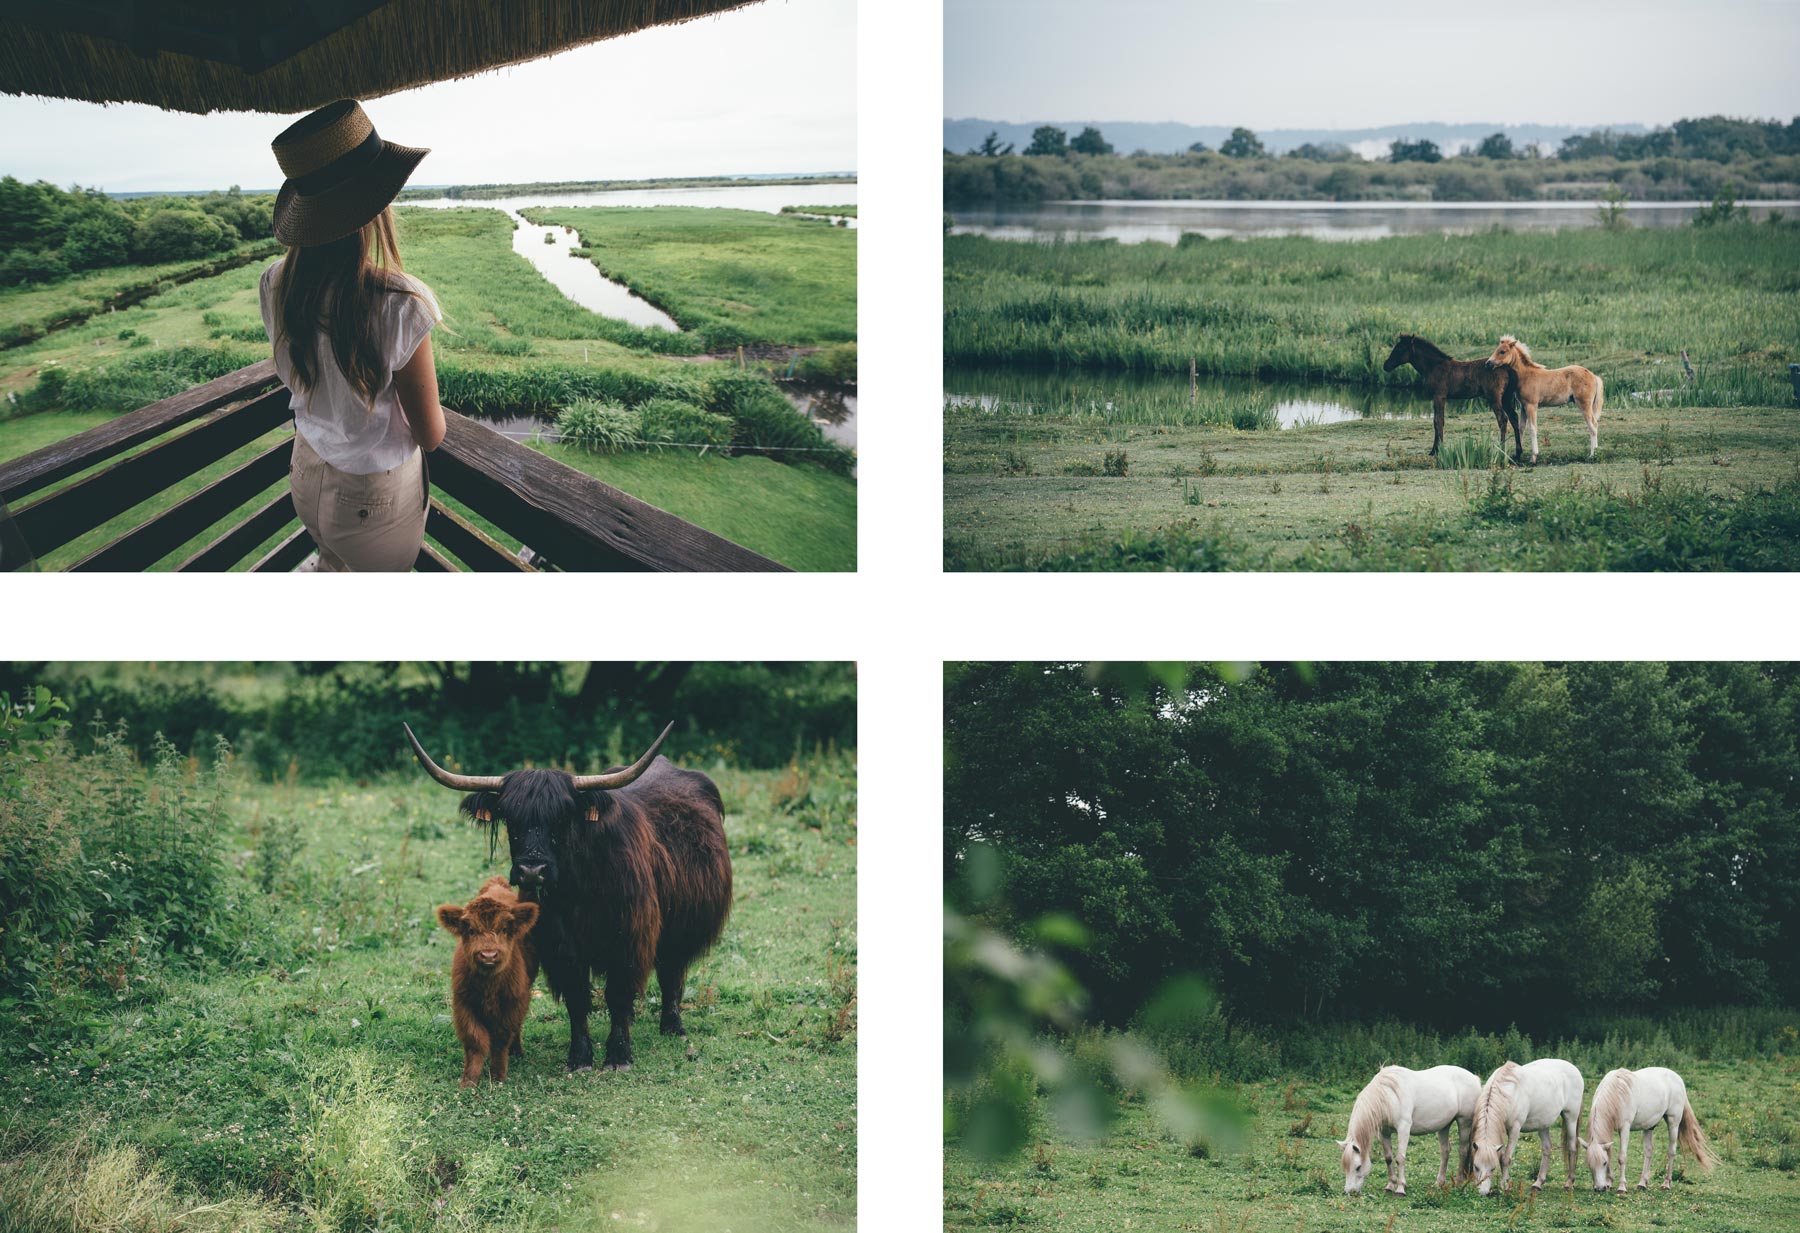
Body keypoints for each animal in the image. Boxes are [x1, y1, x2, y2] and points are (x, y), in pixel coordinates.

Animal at [437, 871, 540, 1080]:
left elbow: (501, 1039)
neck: (489, 986)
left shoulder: (513, 1002)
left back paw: (516, 1051)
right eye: (470, 930)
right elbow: (475, 1041)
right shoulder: (464, 1004)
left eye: (504, 929)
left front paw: (498, 1076)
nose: (488, 955)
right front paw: (469, 1080)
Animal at [1339, 1058, 1476, 1195]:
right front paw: (1390, 1185)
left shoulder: (1403, 1129)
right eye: (1345, 1167)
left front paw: (1400, 1188)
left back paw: (1458, 1182)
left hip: (1464, 1122)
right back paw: (1439, 1183)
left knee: (1463, 1150)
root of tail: (1475, 1078)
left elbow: (1400, 1158)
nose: (1349, 1191)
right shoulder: (1384, 1132)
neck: (1389, 1095)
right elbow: (1388, 1158)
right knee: (1445, 1151)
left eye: (1358, 1167)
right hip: (1444, 1126)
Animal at [1468, 1058, 1584, 1195]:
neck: (1507, 1092)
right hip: (1543, 1124)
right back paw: (1538, 1183)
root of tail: (1574, 1069)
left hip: (1570, 1118)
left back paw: (1569, 1182)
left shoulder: (1514, 1129)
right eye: (1476, 1167)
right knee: (1547, 1149)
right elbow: (1502, 1157)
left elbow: (1506, 1159)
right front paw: (1507, 1183)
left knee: (1572, 1147)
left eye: (1492, 1168)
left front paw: (1505, 1186)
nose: (1483, 1192)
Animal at [1490, 334, 1605, 464]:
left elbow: (1532, 428)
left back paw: (1592, 456)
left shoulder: (1531, 406)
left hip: (1584, 404)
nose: (1488, 363)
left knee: (1593, 426)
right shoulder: (1523, 407)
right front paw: (1517, 454)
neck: (1526, 376)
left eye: (1502, 351)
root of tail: (1593, 376)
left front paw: (1533, 457)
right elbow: (1521, 428)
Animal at [1584, 1065, 1720, 1195]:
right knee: (1648, 1151)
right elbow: (1610, 1153)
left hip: (1673, 1123)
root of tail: (1678, 1079)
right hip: (1649, 1127)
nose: (1599, 1188)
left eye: (1603, 1163)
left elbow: (1622, 1157)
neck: (1616, 1093)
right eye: (1589, 1164)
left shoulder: (1625, 1128)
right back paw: (1642, 1183)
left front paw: (1621, 1187)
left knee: (1671, 1151)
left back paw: (1666, 1184)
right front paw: (1609, 1182)